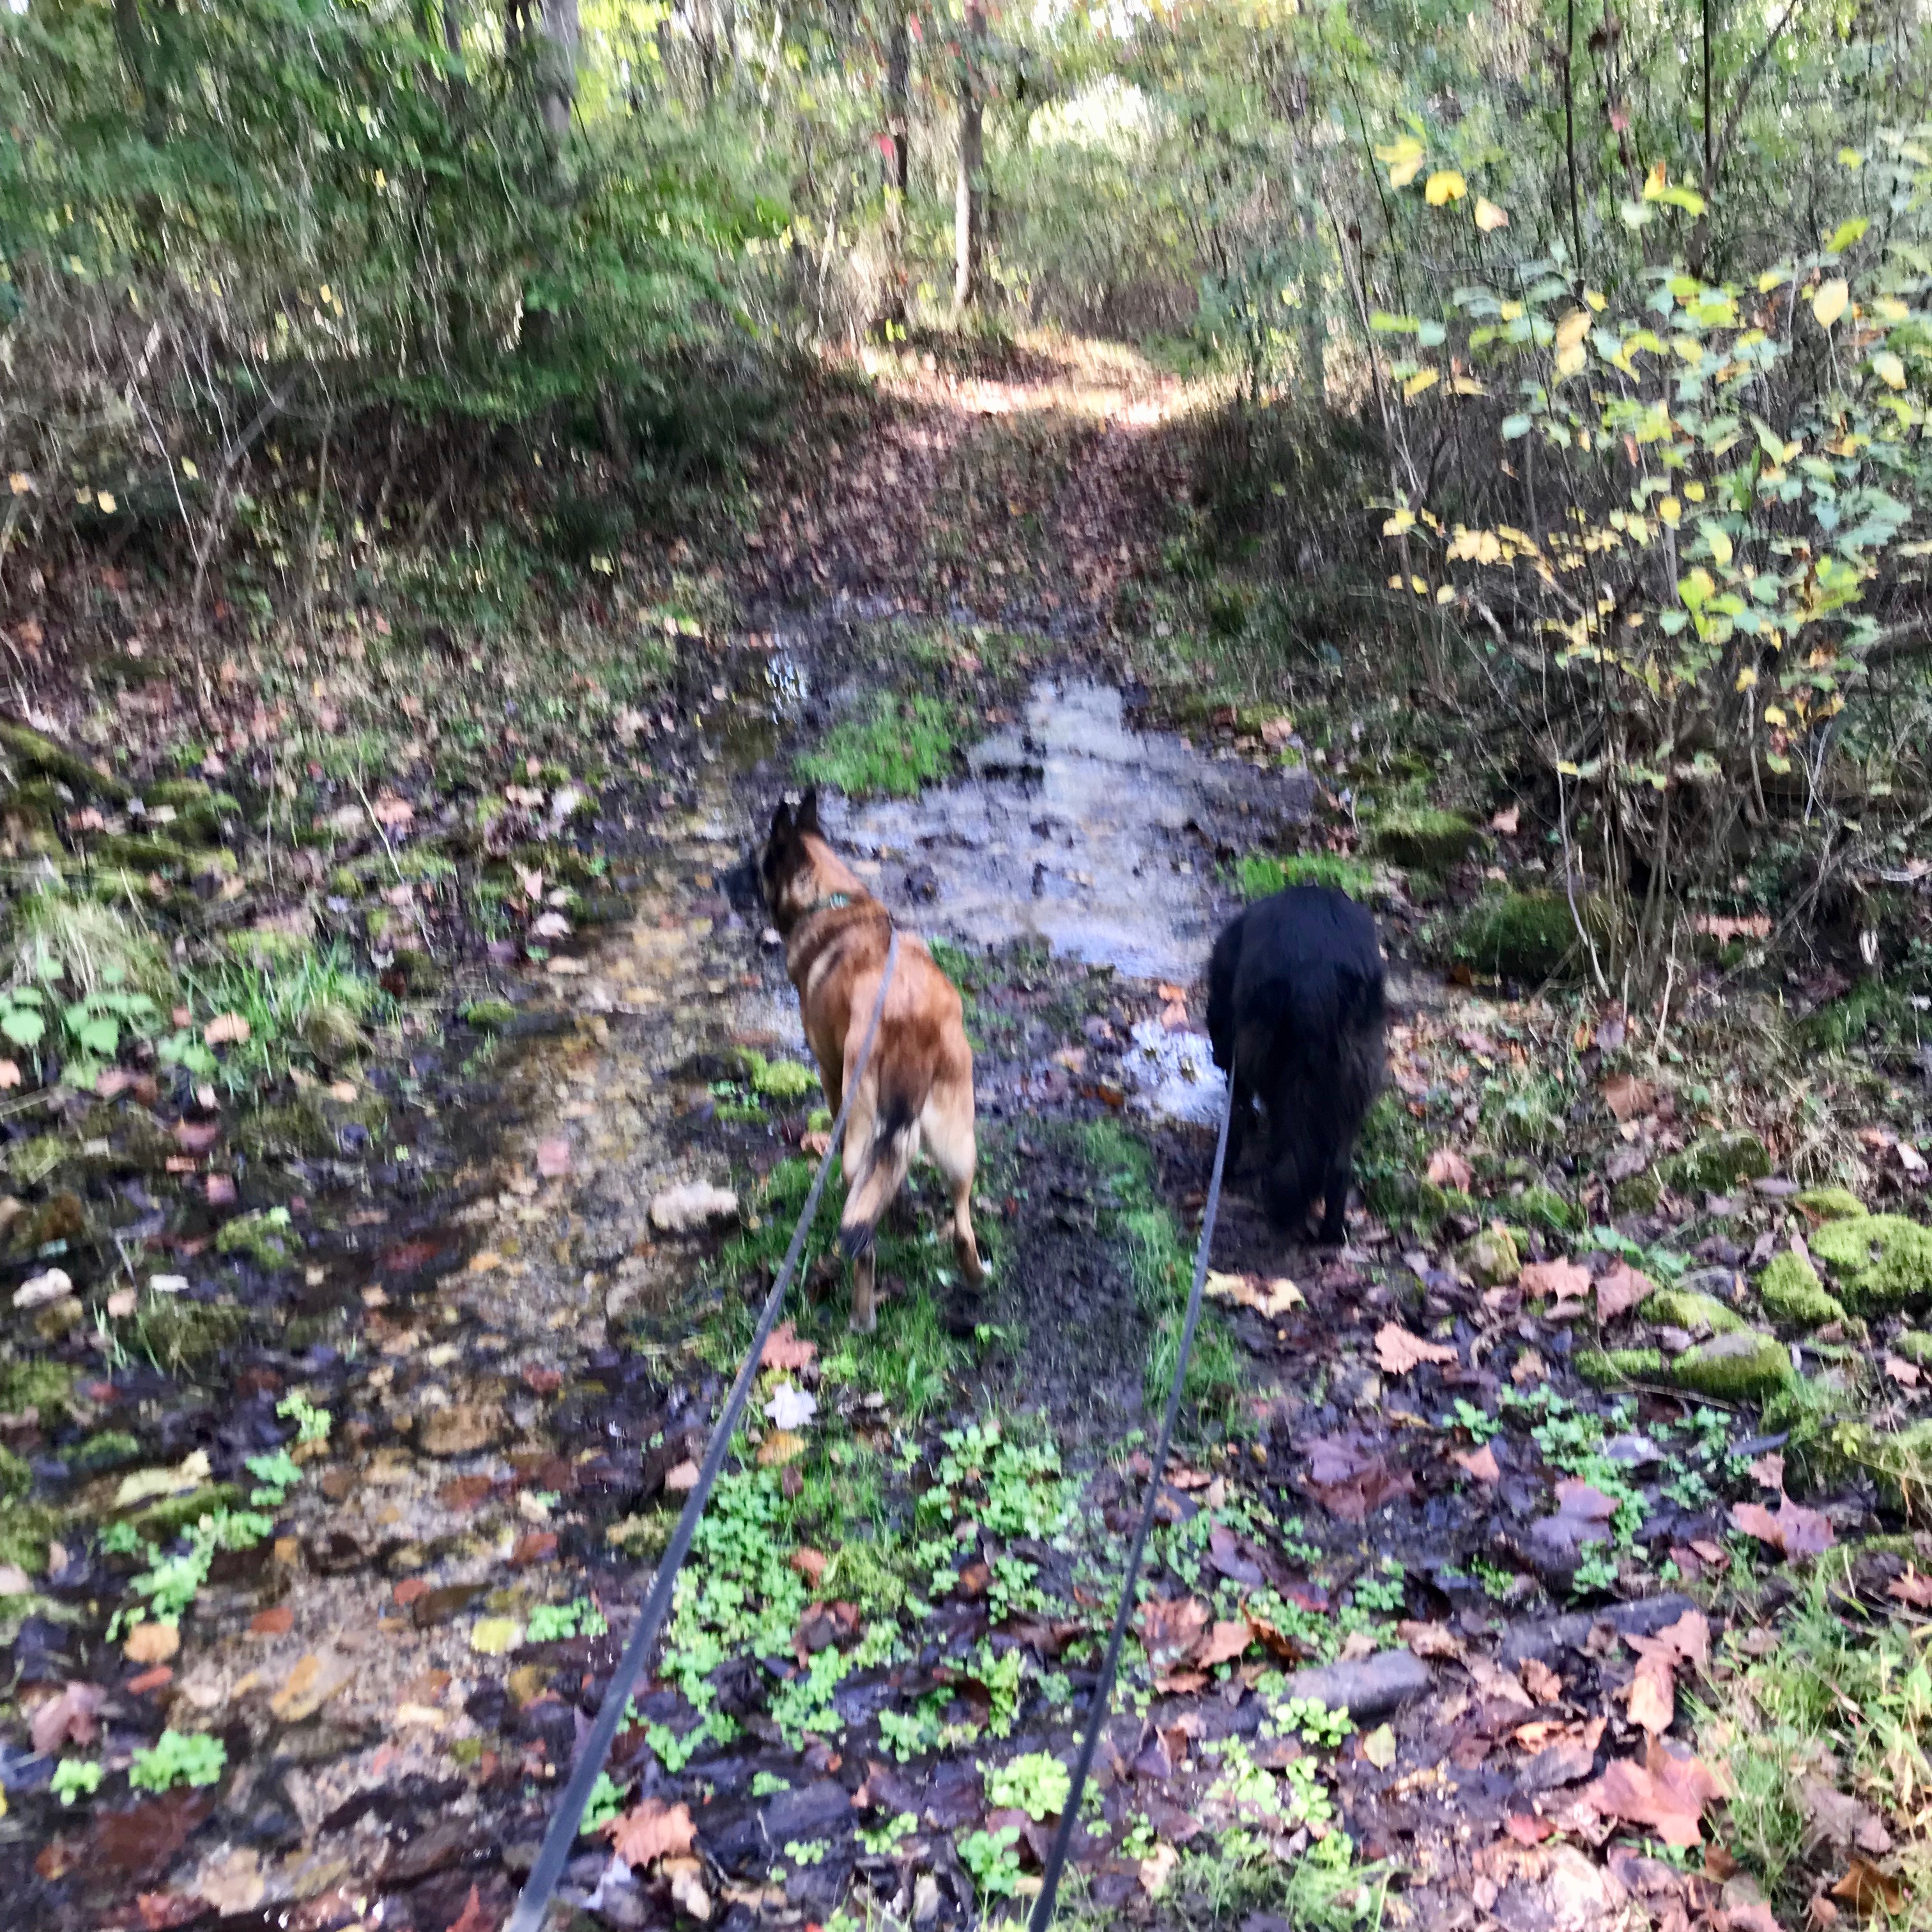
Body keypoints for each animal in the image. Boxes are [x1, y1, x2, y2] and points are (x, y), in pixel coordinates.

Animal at [759, 789, 983, 1329]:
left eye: (758, 864)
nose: (725, 883)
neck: (833, 901)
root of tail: (912, 1026)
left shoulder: (829, 1069)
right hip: (957, 1140)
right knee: (962, 1220)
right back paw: (973, 1275)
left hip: (858, 1142)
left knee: (862, 1243)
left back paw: (862, 1316)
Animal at [1206, 885, 1386, 1243]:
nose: (1216, 1059)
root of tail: (1318, 979)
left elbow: (1236, 1117)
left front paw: (1226, 1167)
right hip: (1353, 1081)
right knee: (1338, 1165)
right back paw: (1331, 1233)